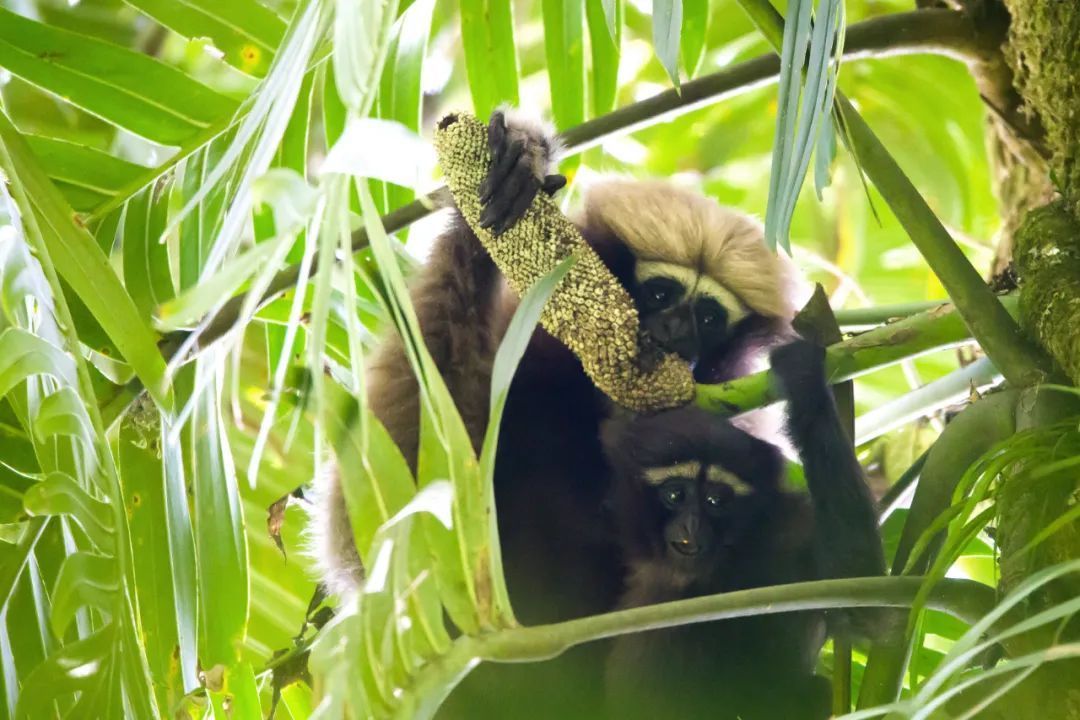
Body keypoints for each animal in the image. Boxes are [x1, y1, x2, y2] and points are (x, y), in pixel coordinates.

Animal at [601, 339, 885, 720]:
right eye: (675, 495)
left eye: (715, 500)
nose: (692, 524)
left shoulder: (792, 529)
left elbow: (862, 599)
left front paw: (805, 381)